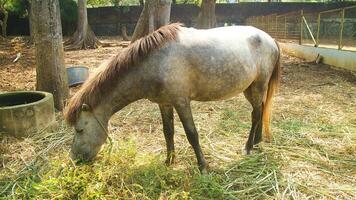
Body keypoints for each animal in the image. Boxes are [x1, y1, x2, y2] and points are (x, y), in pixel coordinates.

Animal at [64, 23, 280, 173]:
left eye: (79, 129)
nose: (74, 161)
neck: (154, 63)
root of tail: (271, 39)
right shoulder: (165, 103)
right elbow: (168, 132)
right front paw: (169, 161)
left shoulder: (181, 102)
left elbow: (192, 134)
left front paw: (203, 167)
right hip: (249, 88)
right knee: (260, 110)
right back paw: (258, 141)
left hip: (258, 85)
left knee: (255, 114)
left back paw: (249, 147)